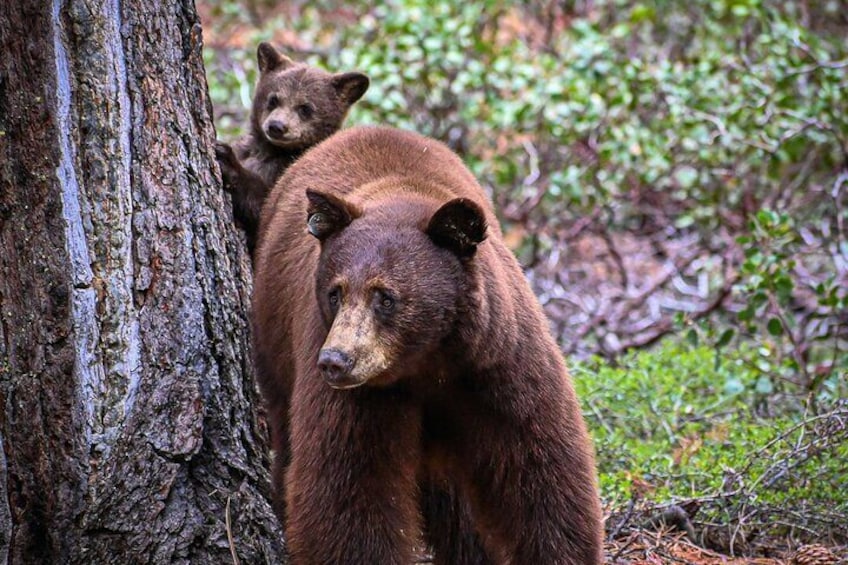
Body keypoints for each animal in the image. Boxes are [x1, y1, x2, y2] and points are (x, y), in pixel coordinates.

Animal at [252, 126, 604, 564]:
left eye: (385, 296)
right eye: (335, 293)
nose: (335, 361)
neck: (428, 362)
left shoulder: (498, 363)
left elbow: (541, 471)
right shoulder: (358, 393)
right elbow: (349, 491)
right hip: (275, 348)